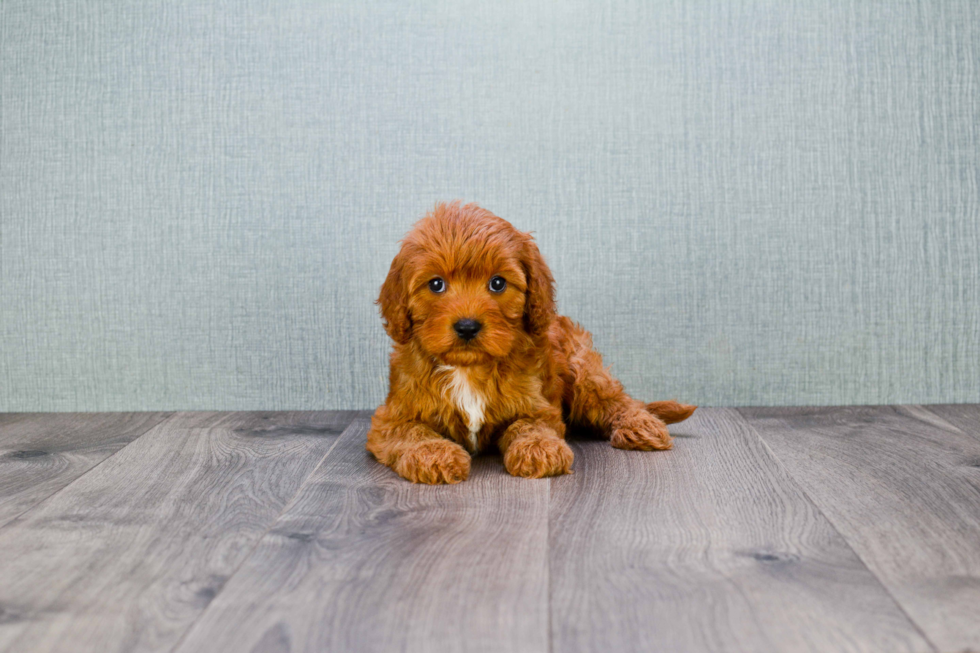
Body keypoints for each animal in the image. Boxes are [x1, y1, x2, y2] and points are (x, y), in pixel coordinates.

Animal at [368, 201, 696, 482]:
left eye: (497, 283)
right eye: (436, 284)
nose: (467, 327)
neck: (469, 368)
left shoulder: (538, 406)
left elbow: (530, 424)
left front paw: (538, 448)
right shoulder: (391, 419)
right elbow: (413, 432)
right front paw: (433, 454)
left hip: (583, 371)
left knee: (618, 401)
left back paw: (641, 424)